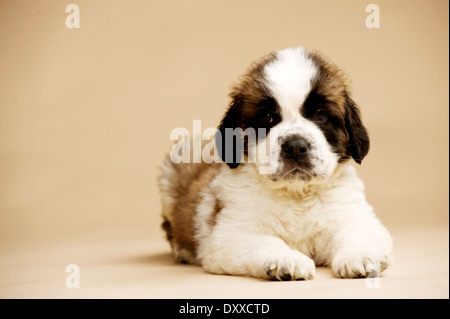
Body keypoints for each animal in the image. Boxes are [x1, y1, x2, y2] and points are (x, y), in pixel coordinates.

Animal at [159, 46, 394, 282]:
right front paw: (286, 260)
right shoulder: (230, 234)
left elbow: (357, 232)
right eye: (267, 117)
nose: (296, 146)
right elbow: (266, 241)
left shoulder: (358, 217)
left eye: (321, 115)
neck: (297, 196)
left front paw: (360, 255)